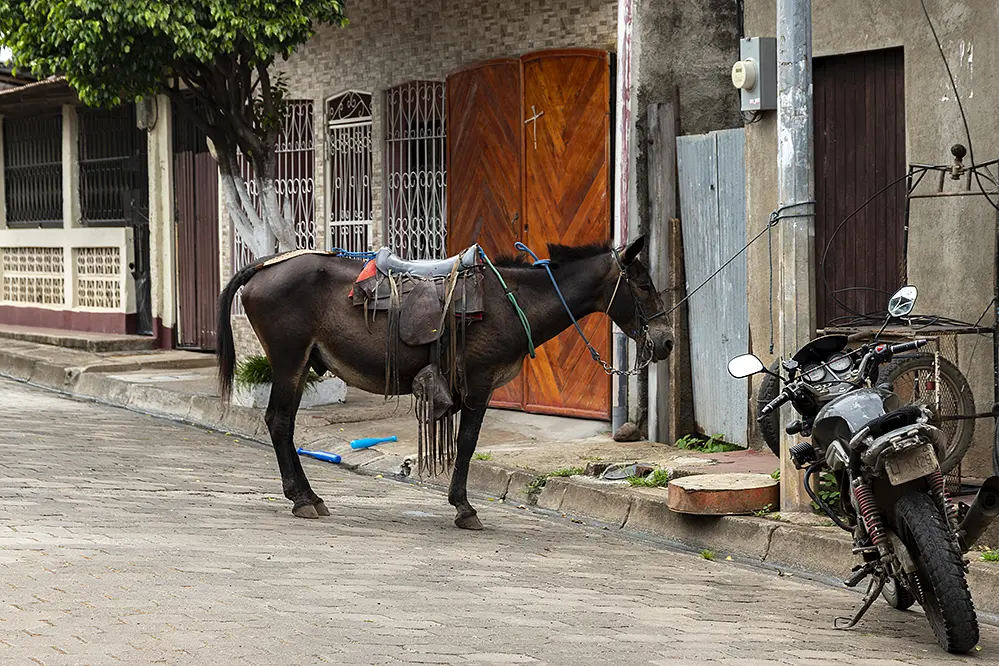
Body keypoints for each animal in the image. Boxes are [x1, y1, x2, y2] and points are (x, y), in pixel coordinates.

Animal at [215, 236, 676, 528]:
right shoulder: (479, 384)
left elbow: (462, 443)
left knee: (281, 424)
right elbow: (468, 443)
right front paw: (464, 508)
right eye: (643, 285)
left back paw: (307, 497)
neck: (514, 302)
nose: (667, 341)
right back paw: (302, 498)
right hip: (289, 360)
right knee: (279, 423)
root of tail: (264, 267)